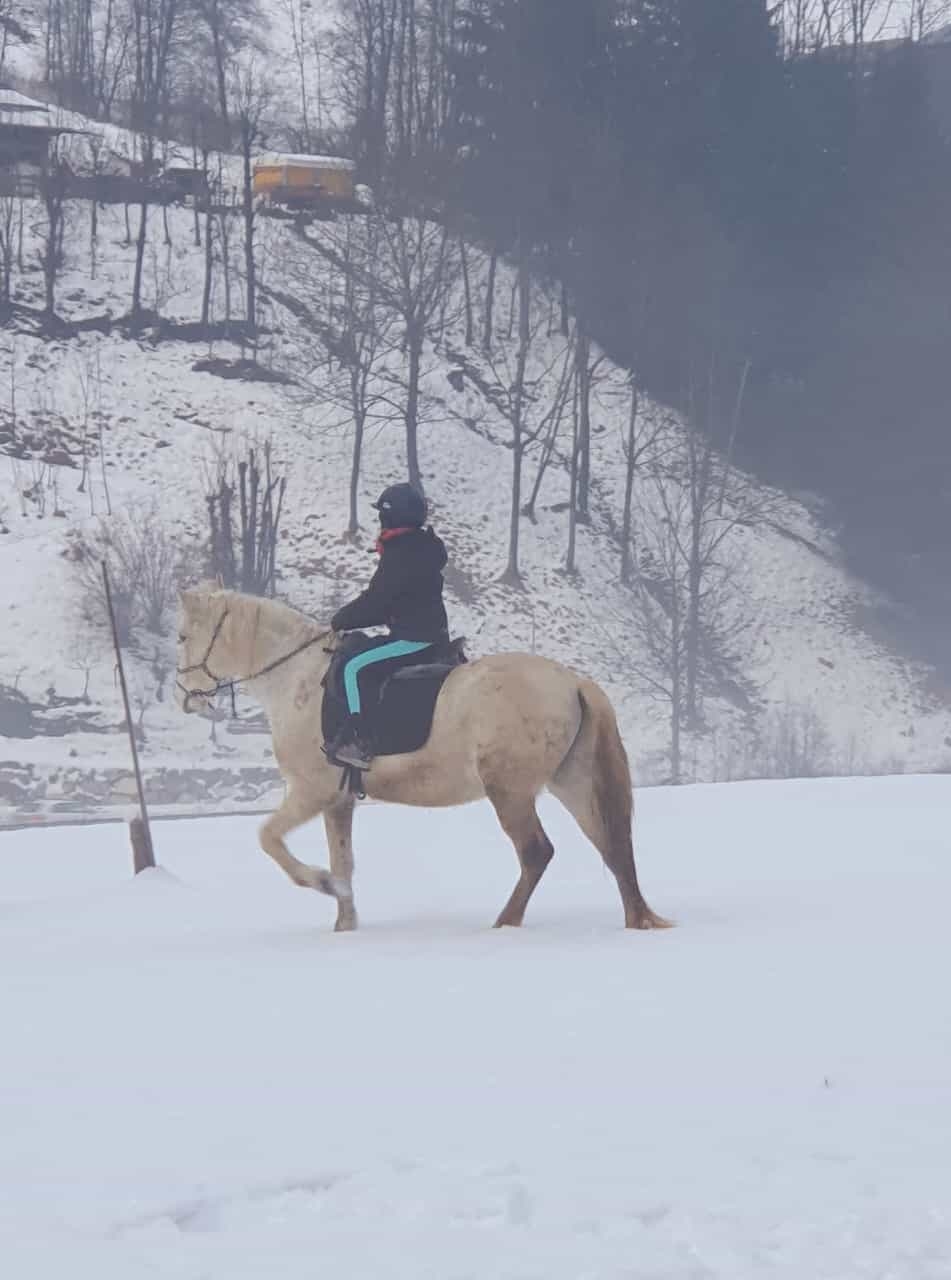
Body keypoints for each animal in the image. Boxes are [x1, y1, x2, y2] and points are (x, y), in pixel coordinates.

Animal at [174, 586, 672, 934]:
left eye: (181, 636)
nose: (186, 698)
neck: (298, 679)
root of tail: (571, 681)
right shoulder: (339, 801)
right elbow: (343, 860)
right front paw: (344, 923)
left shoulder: (310, 792)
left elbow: (269, 839)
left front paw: (321, 883)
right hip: (571, 781)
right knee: (611, 844)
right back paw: (636, 918)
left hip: (509, 792)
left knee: (537, 852)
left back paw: (504, 923)